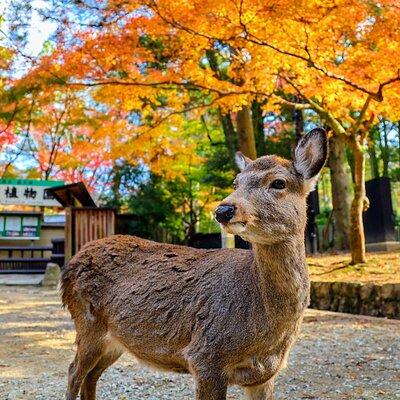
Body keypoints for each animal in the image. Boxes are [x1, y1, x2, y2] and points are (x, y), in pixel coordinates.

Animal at [60, 128, 328, 400]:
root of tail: (71, 263)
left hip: (115, 340)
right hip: (87, 322)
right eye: (236, 182)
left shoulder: (265, 374)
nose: (224, 210)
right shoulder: (206, 354)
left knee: (91, 376)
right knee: (74, 371)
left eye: (278, 183)